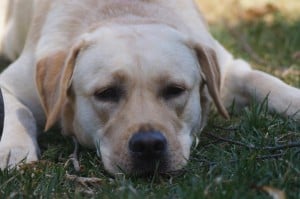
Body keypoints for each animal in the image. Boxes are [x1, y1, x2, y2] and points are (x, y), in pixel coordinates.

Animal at [0, 0, 300, 174]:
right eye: (106, 93)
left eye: (175, 90)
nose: (148, 145)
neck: (128, 13)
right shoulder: (13, 82)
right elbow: (17, 112)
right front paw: (14, 150)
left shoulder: (230, 70)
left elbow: (266, 82)